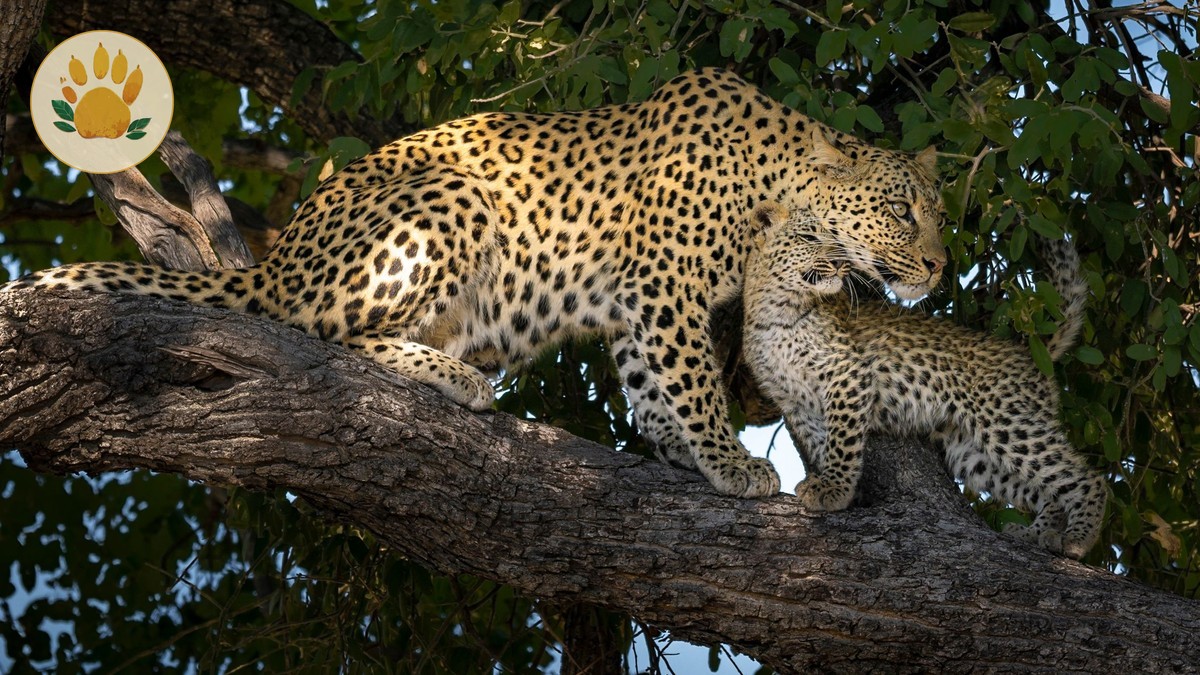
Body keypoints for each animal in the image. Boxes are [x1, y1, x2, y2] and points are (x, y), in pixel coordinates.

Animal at [5, 68, 947, 499]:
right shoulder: (664, 282)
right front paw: (728, 461)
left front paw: (681, 454)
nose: (939, 265)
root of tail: (279, 257)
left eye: (939, 214)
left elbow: (651, 386)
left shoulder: (636, 303)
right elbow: (691, 378)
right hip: (448, 197)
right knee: (320, 332)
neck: (775, 189)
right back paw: (452, 377)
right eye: (902, 211)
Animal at [742, 203, 1107, 558]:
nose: (839, 264)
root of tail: (1030, 354)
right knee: (1046, 490)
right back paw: (1038, 534)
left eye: (838, 243)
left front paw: (834, 489)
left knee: (1085, 476)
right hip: (973, 453)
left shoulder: (848, 374)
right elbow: (821, 443)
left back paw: (1077, 539)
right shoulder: (796, 403)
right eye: (808, 237)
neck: (774, 311)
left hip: (1008, 422)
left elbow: (842, 442)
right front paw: (841, 490)